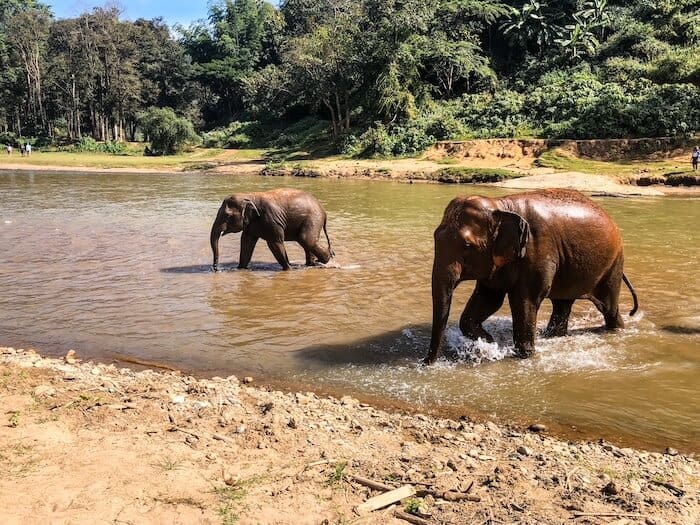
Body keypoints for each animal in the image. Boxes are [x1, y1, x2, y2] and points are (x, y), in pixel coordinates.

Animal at [426, 189, 638, 364]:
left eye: (467, 245)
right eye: (434, 236)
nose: (427, 363)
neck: (501, 205)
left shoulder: (537, 251)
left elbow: (524, 300)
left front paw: (523, 355)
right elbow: (489, 298)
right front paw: (488, 342)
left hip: (613, 263)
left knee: (608, 306)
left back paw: (616, 330)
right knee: (562, 304)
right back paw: (553, 336)